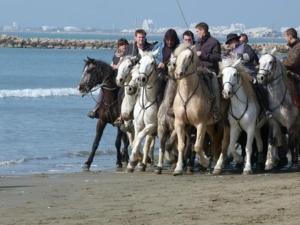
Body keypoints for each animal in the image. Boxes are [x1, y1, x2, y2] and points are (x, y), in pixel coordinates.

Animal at [171, 44, 230, 176]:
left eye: (189, 57)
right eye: (177, 55)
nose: (178, 73)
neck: (188, 93)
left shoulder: (200, 124)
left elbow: (197, 146)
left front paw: (205, 162)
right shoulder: (179, 123)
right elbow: (181, 145)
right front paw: (178, 168)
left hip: (224, 123)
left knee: (224, 144)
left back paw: (217, 166)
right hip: (210, 126)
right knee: (215, 141)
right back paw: (213, 164)